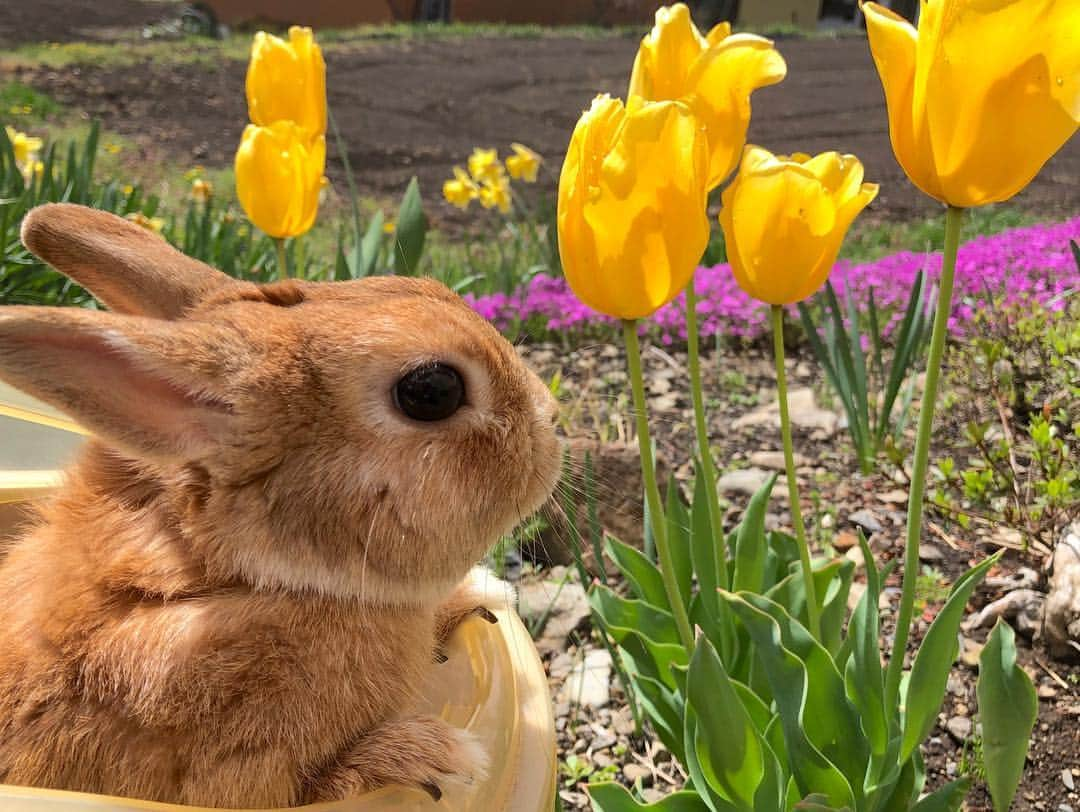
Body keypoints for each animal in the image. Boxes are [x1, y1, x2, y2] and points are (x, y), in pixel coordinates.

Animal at [0, 203, 561, 807]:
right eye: (432, 391)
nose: (552, 418)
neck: (238, 574)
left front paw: (481, 592)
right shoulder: (227, 776)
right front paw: (427, 760)